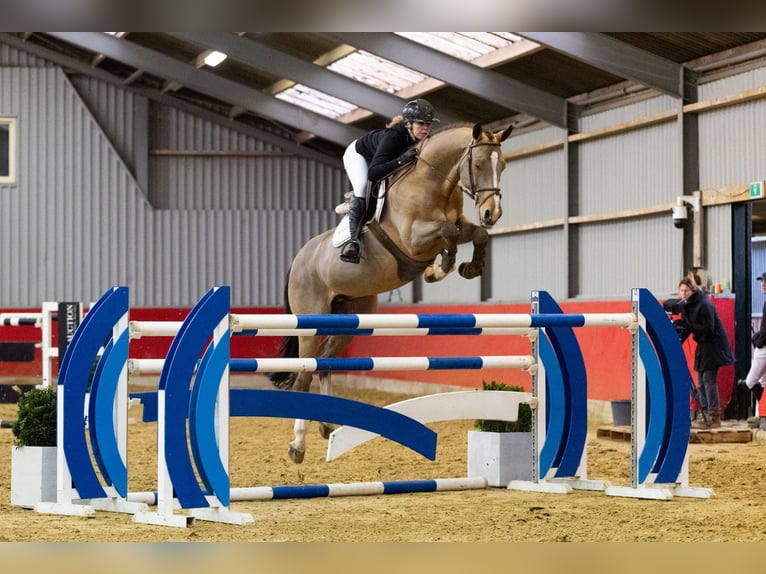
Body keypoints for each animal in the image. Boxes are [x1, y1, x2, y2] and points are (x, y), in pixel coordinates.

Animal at [268, 122, 513, 463]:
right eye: (477, 165)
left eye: (501, 165)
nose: (493, 213)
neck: (435, 182)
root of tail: (298, 259)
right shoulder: (413, 238)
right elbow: (448, 232)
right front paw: (441, 266)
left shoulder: (460, 225)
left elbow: (476, 234)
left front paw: (464, 267)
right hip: (310, 320)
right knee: (304, 373)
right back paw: (297, 446)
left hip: (351, 318)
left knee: (325, 363)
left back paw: (327, 426)